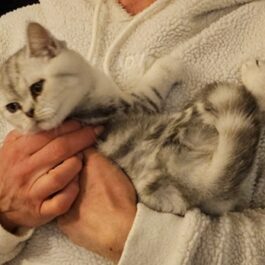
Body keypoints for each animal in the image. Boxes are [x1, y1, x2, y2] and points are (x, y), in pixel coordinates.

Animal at [0, 22, 262, 214]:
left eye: (37, 87)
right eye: (13, 107)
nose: (29, 114)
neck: (79, 104)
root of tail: (198, 186)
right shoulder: (135, 104)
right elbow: (154, 82)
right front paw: (168, 63)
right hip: (197, 115)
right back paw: (255, 74)